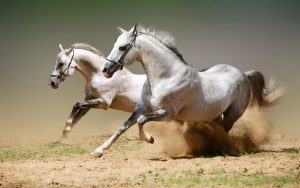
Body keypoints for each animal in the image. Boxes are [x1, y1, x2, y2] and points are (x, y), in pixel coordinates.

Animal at [93, 25, 282, 157]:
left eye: (123, 47)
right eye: (116, 44)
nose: (105, 70)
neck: (167, 76)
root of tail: (244, 74)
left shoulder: (167, 114)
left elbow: (141, 121)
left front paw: (150, 139)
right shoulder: (141, 107)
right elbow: (123, 127)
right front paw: (99, 150)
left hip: (232, 115)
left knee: (224, 132)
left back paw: (219, 149)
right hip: (215, 114)